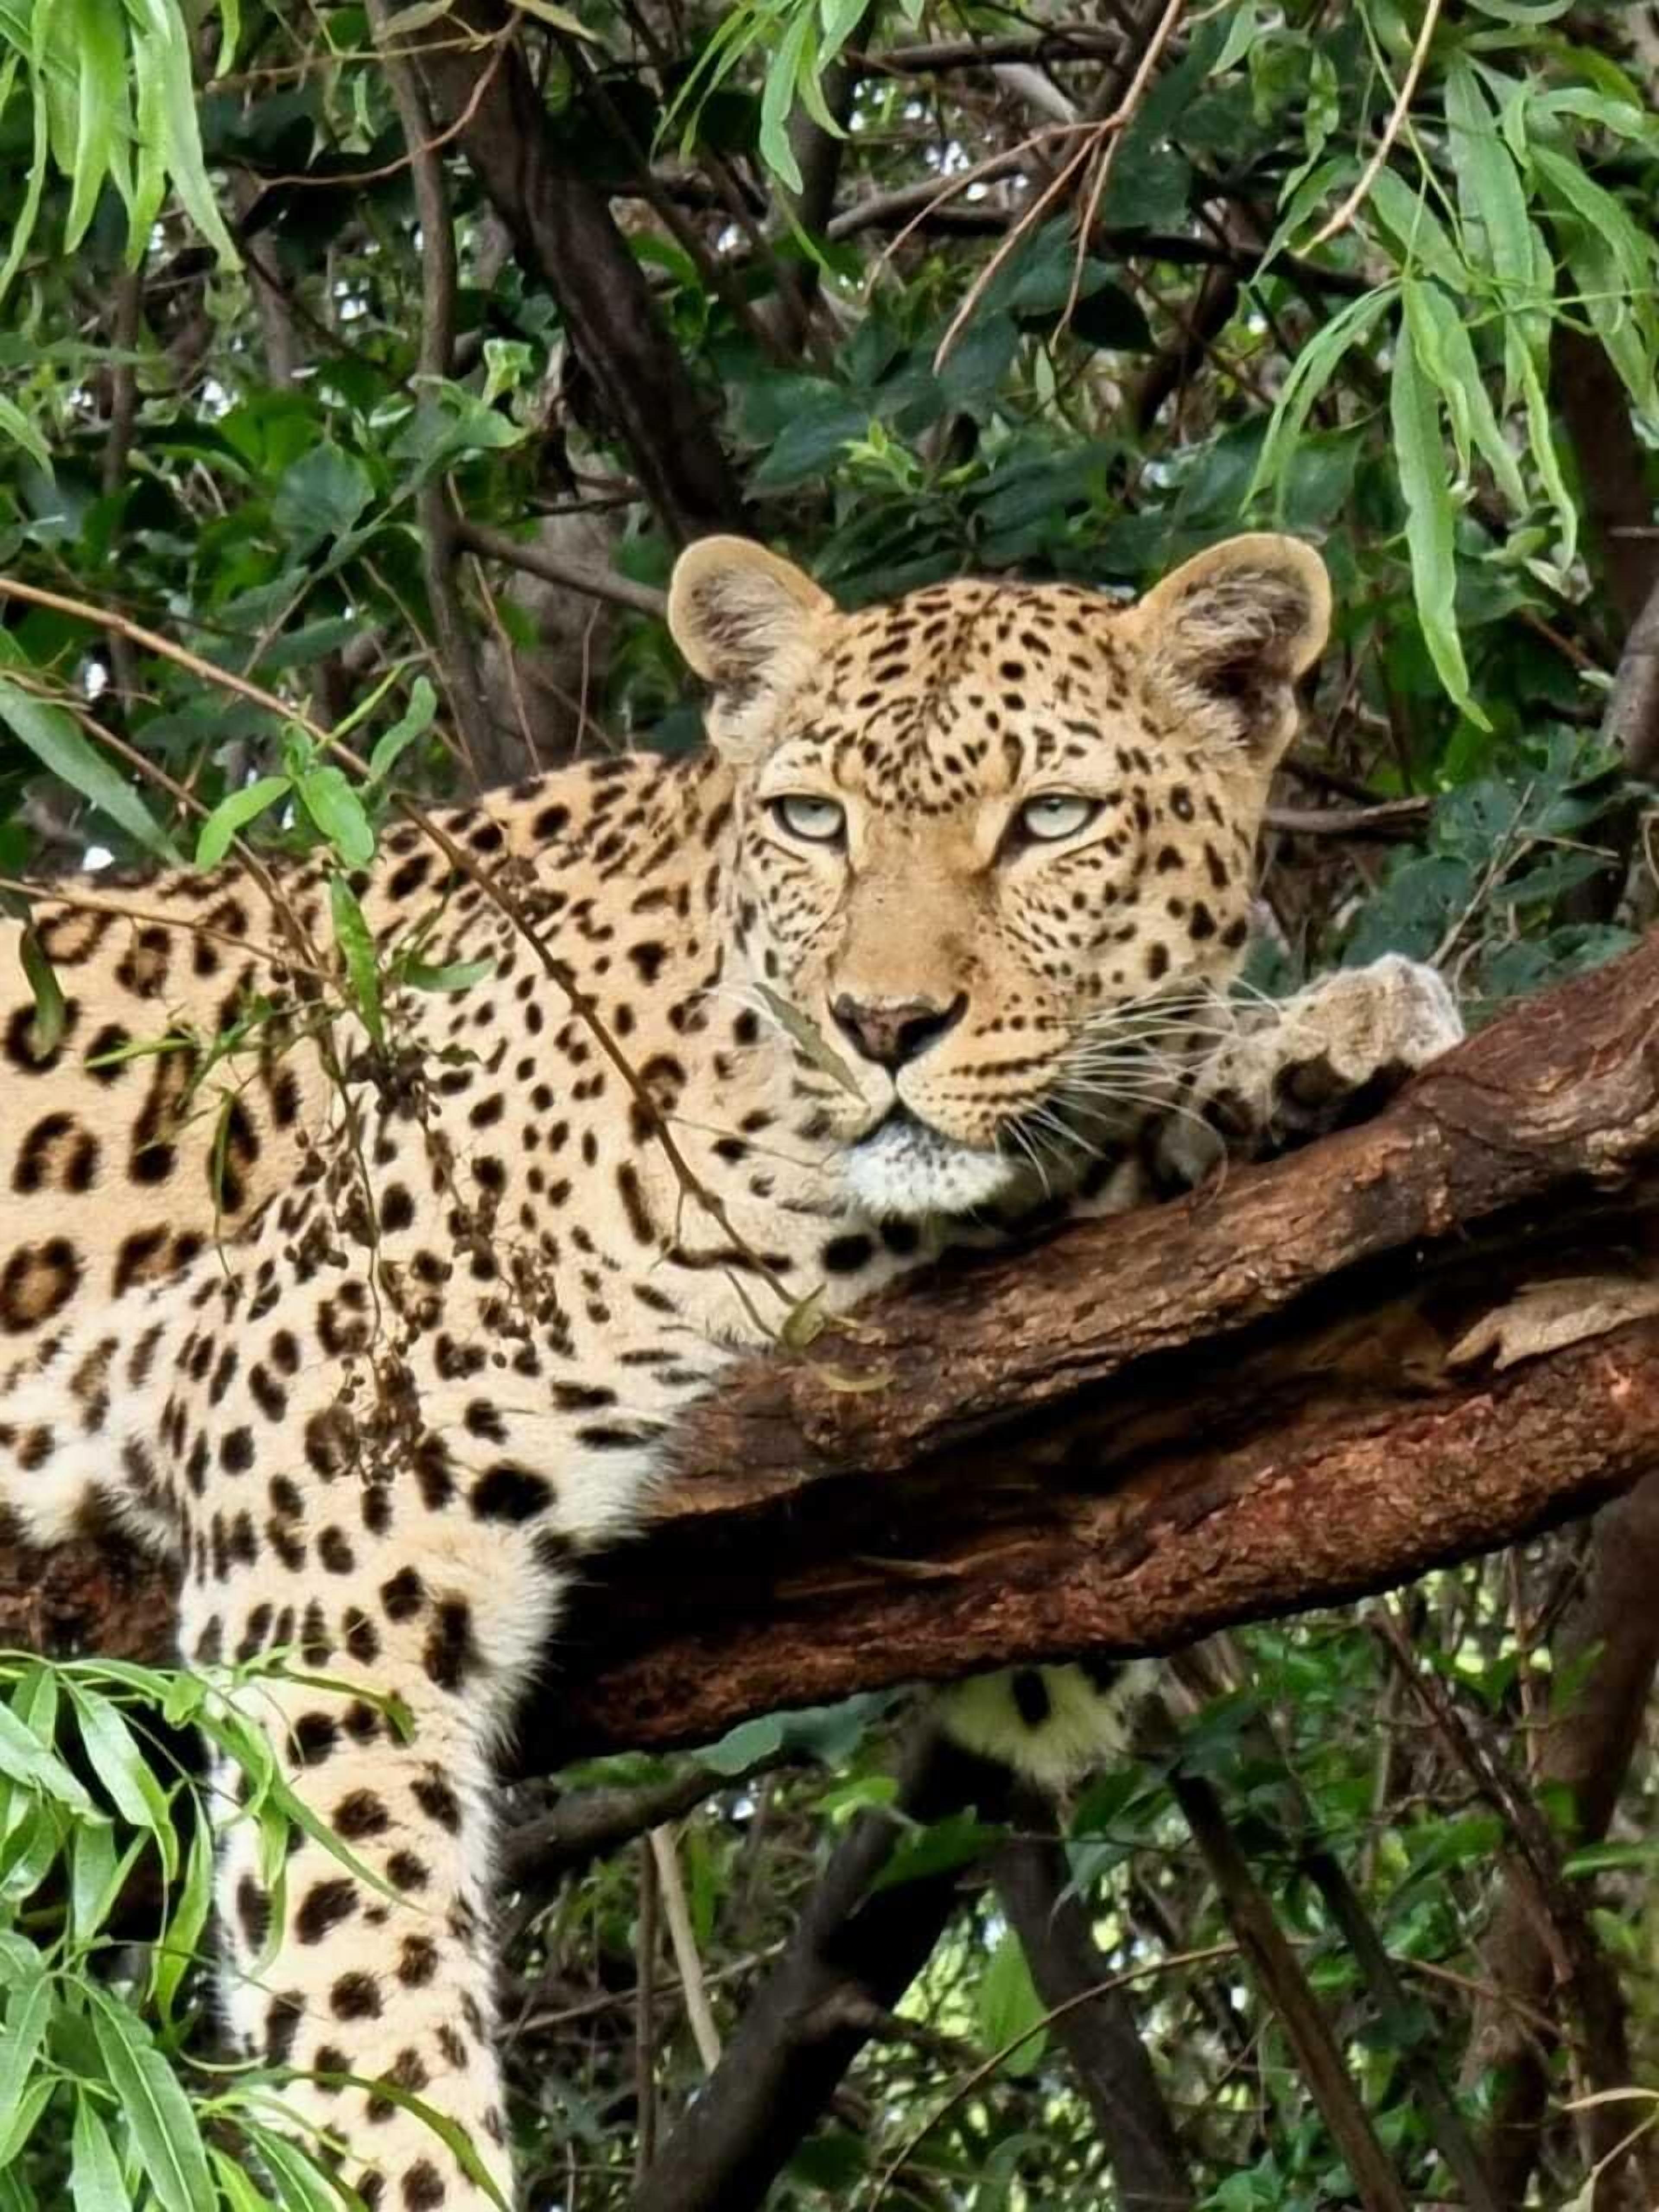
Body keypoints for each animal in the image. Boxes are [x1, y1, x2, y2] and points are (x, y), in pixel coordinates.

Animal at [0, 531, 1462, 2208]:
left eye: (1051, 819)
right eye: (814, 820)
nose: (885, 1024)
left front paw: (1312, 1043)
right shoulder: (301, 1428)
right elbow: (366, 1960)